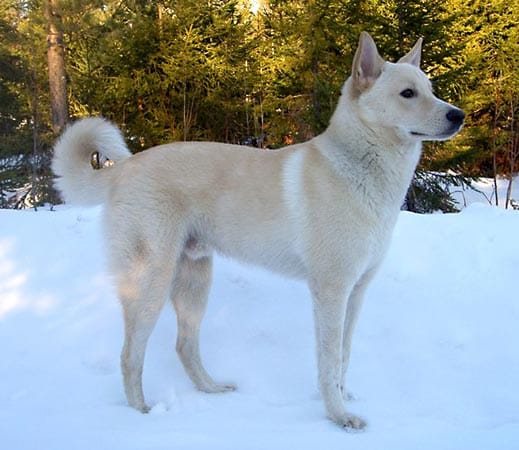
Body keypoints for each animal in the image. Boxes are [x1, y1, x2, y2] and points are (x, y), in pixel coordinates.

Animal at [50, 32, 466, 428]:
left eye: (430, 89)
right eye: (408, 93)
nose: (459, 115)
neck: (358, 168)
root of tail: (124, 168)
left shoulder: (357, 292)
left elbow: (344, 357)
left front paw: (344, 400)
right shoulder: (331, 291)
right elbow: (329, 361)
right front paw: (338, 416)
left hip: (194, 283)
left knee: (184, 346)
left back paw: (212, 389)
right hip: (150, 283)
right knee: (130, 355)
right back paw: (141, 413)